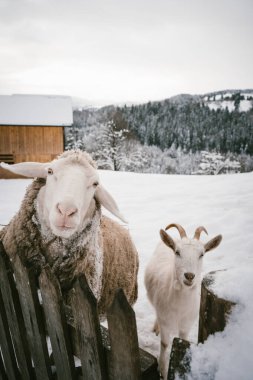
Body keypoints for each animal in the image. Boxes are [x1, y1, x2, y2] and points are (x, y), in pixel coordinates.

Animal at [144, 223, 221, 378]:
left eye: (202, 254)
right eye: (177, 252)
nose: (189, 276)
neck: (179, 307)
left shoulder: (187, 324)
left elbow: (183, 342)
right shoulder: (166, 321)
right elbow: (165, 344)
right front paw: (163, 371)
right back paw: (155, 328)